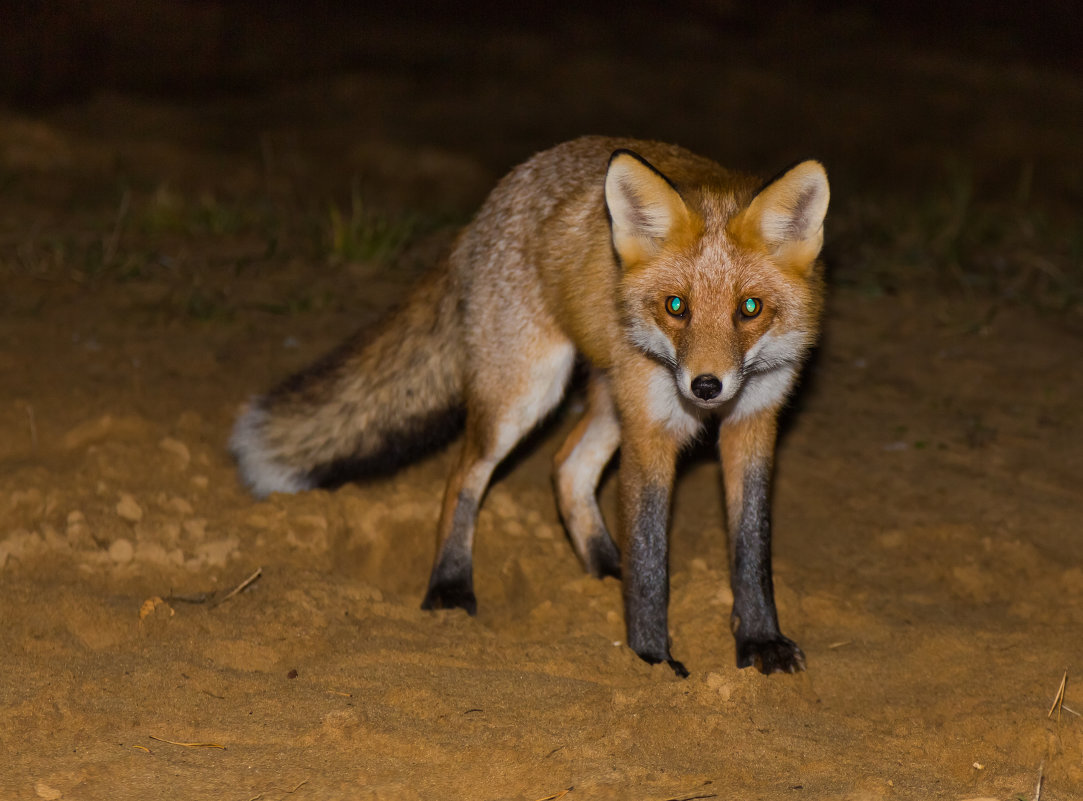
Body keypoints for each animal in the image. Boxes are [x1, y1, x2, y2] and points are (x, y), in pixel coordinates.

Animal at [232, 135, 827, 675]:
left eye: (749, 308)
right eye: (675, 306)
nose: (706, 387)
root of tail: (496, 199)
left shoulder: (753, 421)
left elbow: (752, 548)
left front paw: (760, 642)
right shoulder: (652, 429)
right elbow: (650, 558)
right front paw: (653, 660)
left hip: (609, 397)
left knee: (566, 466)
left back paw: (603, 566)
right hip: (526, 395)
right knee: (464, 474)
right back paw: (450, 586)